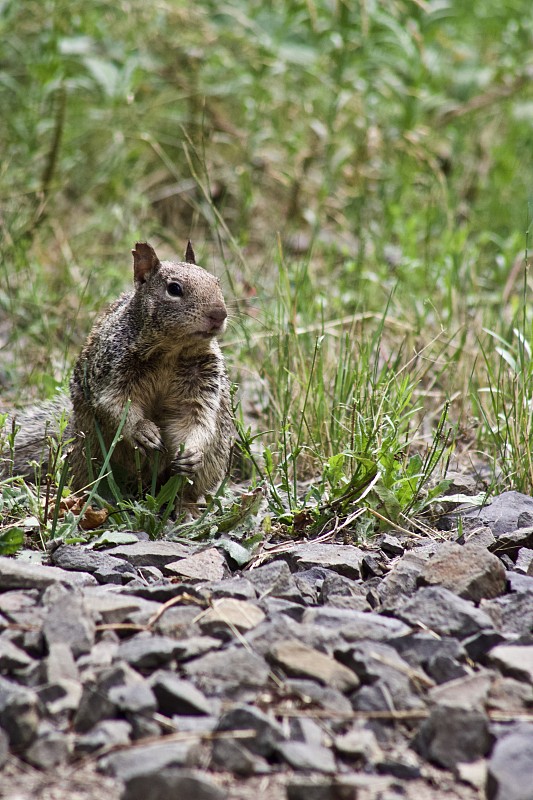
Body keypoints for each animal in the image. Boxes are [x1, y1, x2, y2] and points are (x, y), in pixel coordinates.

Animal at [2, 241, 232, 506]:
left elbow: (197, 419)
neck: (171, 352)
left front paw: (192, 453)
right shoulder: (111, 374)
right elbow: (115, 406)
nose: (219, 314)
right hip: (87, 456)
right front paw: (142, 431)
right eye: (174, 289)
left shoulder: (202, 384)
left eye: (217, 282)